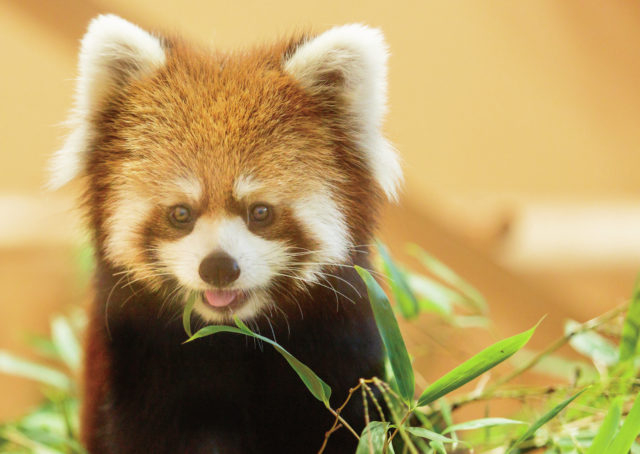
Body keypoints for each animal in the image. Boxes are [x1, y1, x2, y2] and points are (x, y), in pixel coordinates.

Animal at [51, 14, 400, 454]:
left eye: (260, 212)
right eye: (181, 213)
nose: (218, 267)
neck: (233, 337)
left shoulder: (341, 355)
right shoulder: (138, 367)